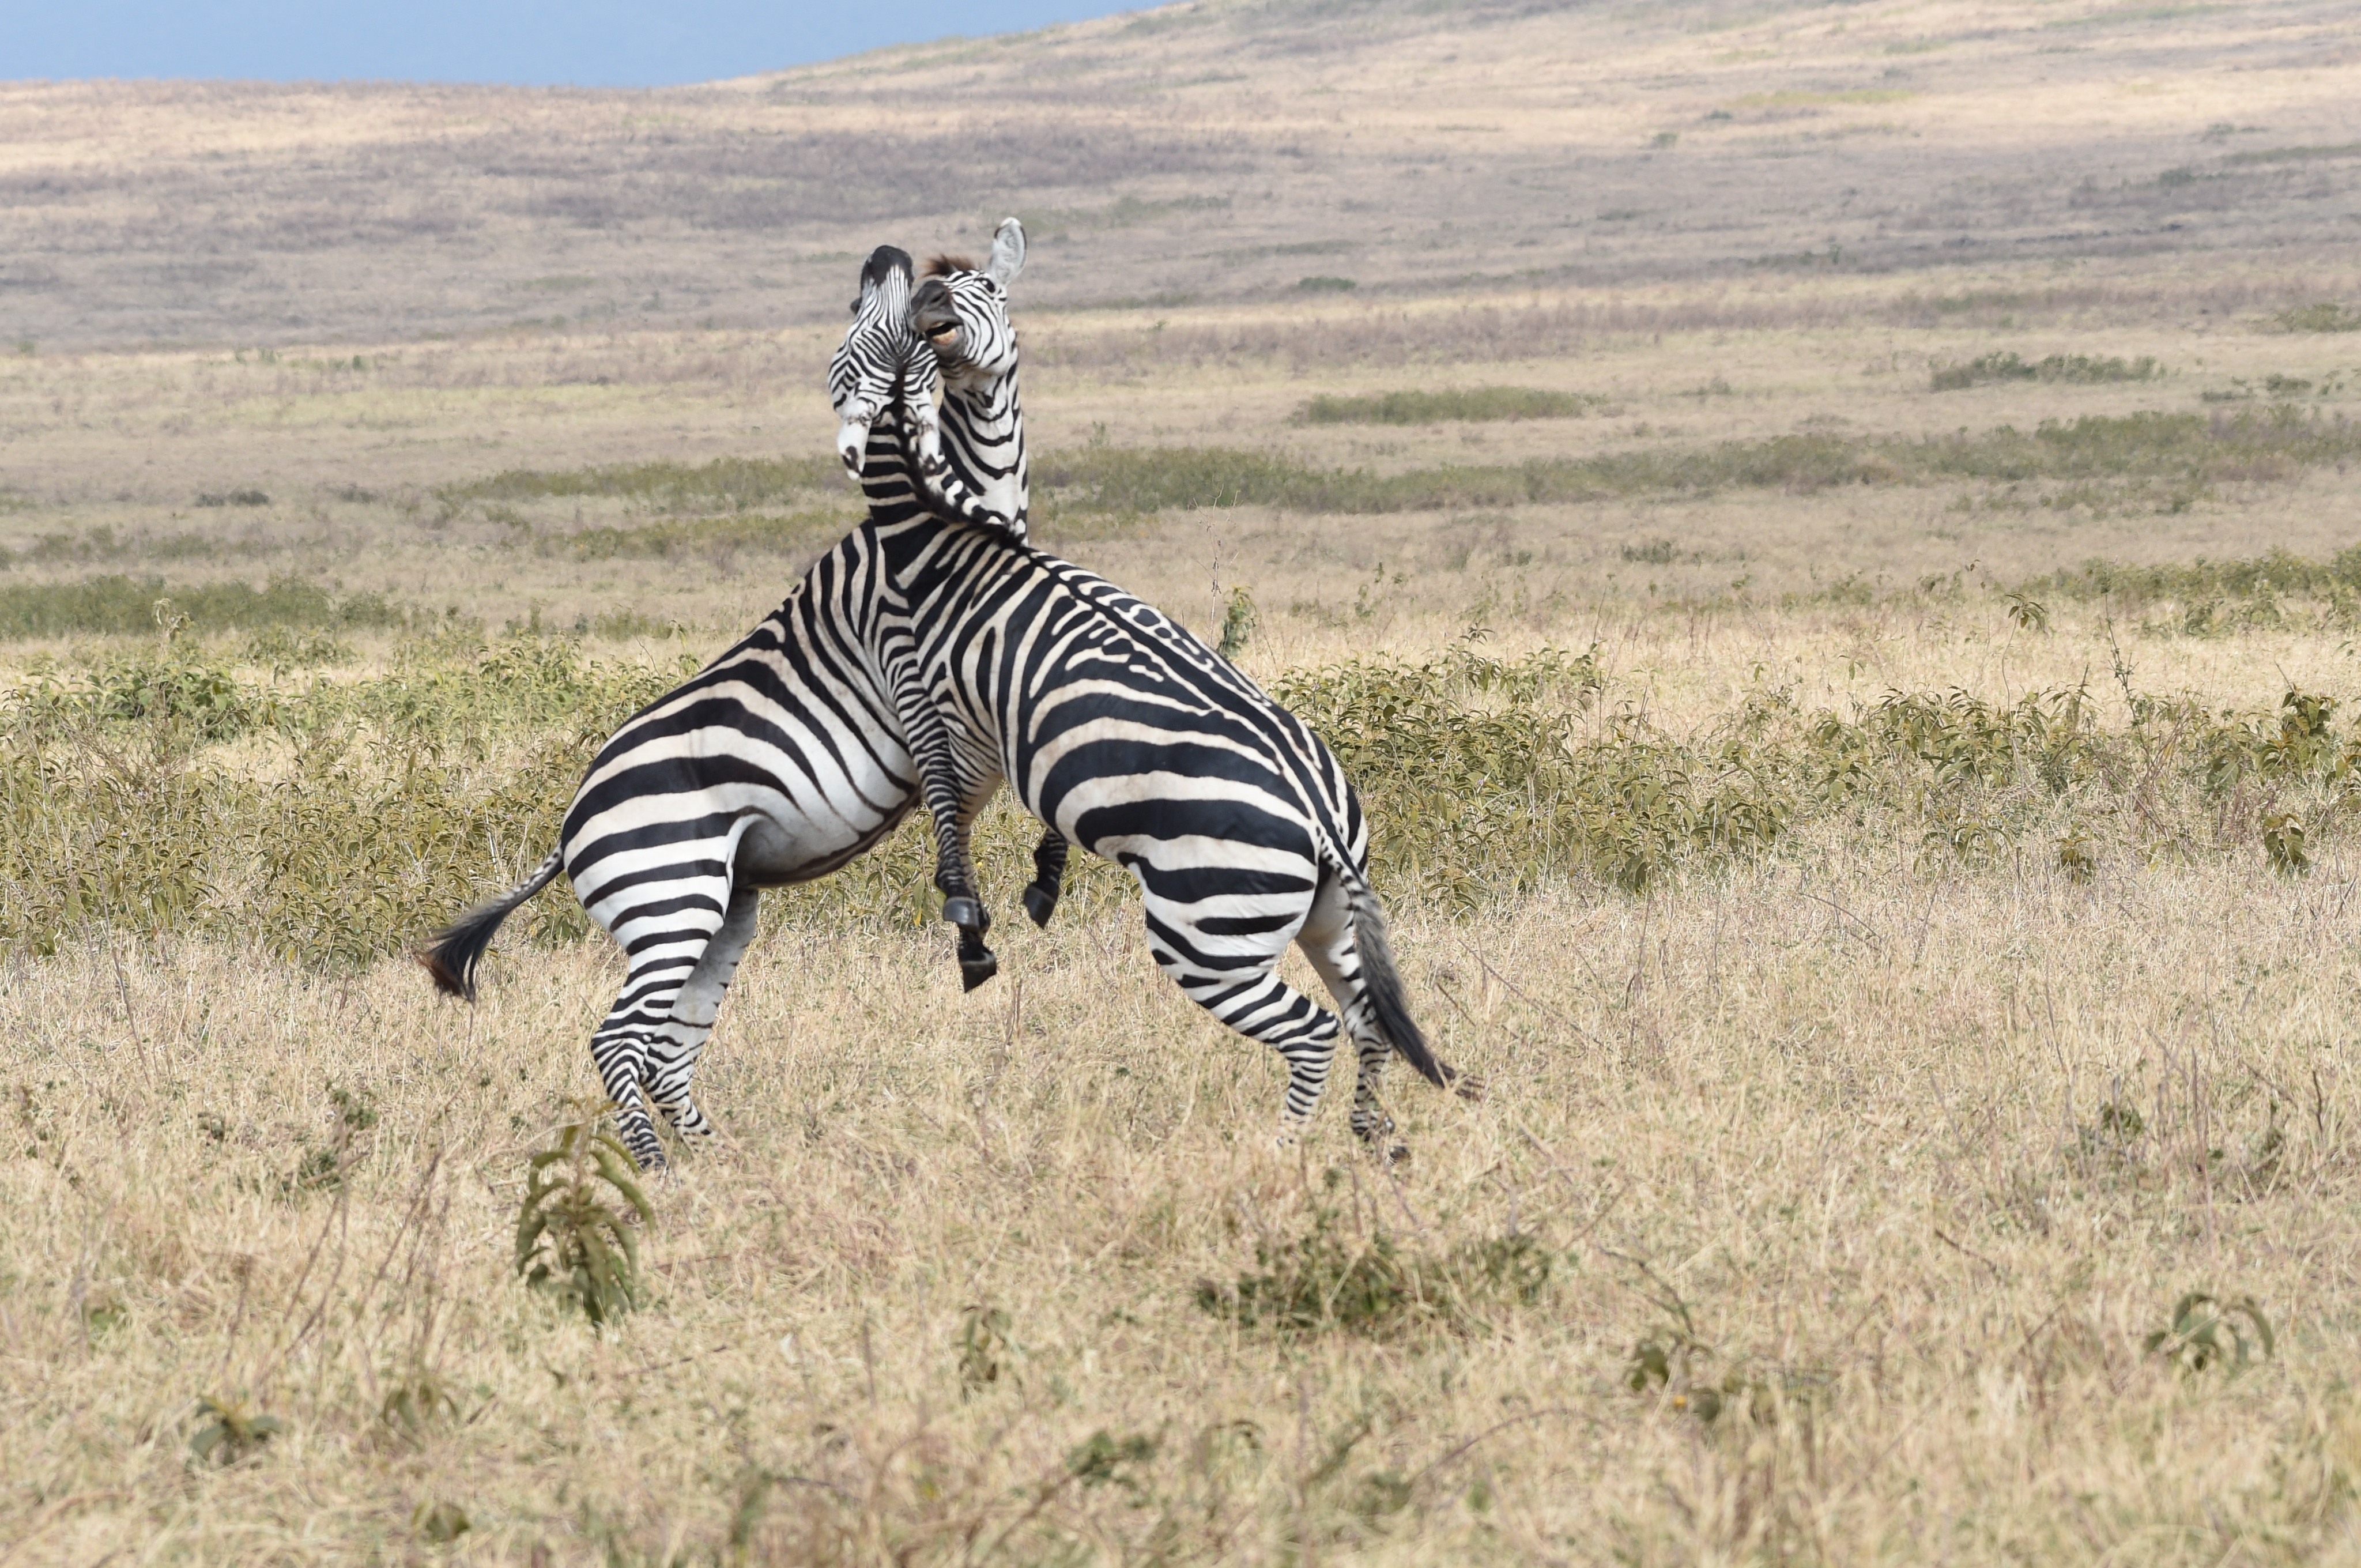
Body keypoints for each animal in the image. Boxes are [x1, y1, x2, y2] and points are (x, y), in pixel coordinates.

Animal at [422, 233, 1033, 1174]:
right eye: (872, 316)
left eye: (987, 291)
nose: (890, 256)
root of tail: (567, 831)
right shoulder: (910, 666)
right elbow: (948, 780)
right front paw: (972, 918)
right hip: (672, 901)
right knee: (621, 1041)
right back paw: (662, 1173)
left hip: (719, 911)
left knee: (670, 1050)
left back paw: (721, 1169)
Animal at [845, 244, 1462, 1150]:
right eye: (911, 295)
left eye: (983, 289)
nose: (916, 288)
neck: (951, 545)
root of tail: (1322, 823)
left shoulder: (950, 712)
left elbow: (949, 808)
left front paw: (971, 920)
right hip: (1328, 920)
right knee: (1365, 1020)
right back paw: (1367, 1142)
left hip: (1206, 934)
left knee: (1314, 1030)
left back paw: (1280, 1153)